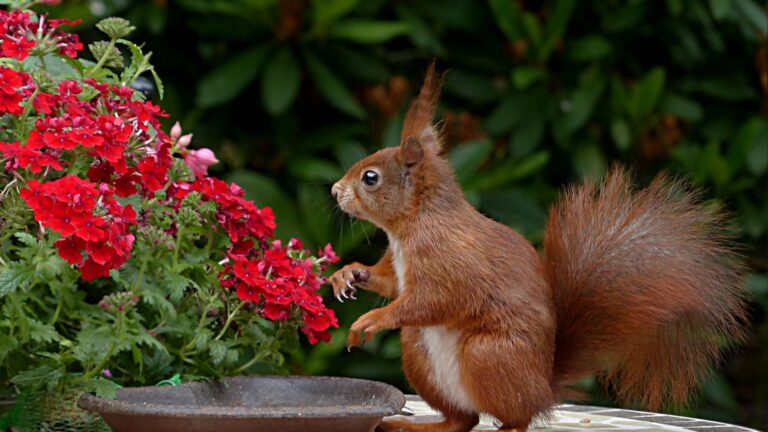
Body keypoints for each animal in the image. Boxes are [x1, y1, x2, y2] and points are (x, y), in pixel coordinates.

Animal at [329, 64, 748, 432]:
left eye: (370, 178)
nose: (334, 191)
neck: (412, 225)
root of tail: (543, 389)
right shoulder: (398, 264)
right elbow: (390, 283)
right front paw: (348, 274)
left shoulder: (448, 259)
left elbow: (432, 300)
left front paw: (370, 320)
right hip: (419, 351)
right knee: (463, 420)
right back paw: (416, 423)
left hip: (488, 355)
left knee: (515, 416)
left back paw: (506, 425)